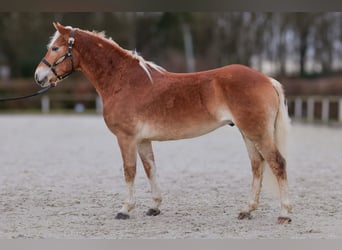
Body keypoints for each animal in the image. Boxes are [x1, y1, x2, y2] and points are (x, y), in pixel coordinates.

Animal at [34, 22, 292, 224]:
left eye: (55, 48)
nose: (38, 76)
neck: (123, 81)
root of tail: (267, 79)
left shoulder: (126, 138)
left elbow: (129, 171)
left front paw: (125, 209)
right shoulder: (142, 140)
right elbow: (150, 169)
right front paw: (154, 206)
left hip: (257, 133)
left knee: (277, 163)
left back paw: (284, 214)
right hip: (248, 133)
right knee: (257, 165)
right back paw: (247, 210)